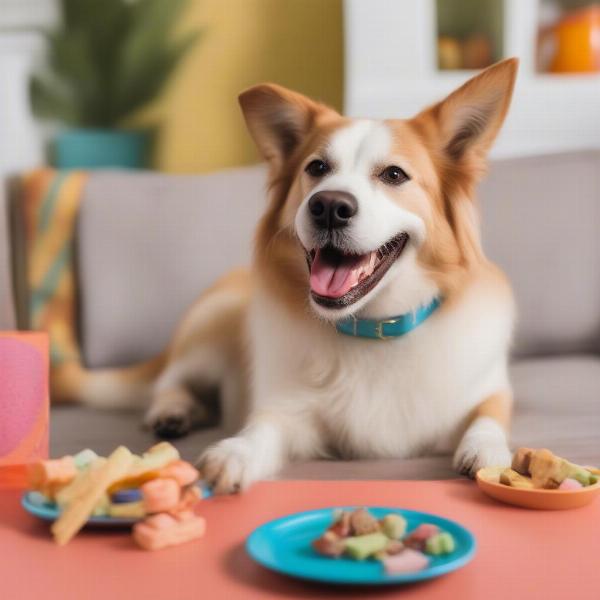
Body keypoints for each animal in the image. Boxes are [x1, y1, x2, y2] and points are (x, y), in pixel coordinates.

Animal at [62, 58, 520, 494]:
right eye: (316, 167)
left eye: (394, 175)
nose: (329, 205)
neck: (372, 330)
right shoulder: (292, 414)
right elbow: (264, 428)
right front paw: (236, 453)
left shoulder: (490, 391)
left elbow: (488, 417)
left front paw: (487, 450)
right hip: (213, 326)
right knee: (170, 380)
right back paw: (173, 410)